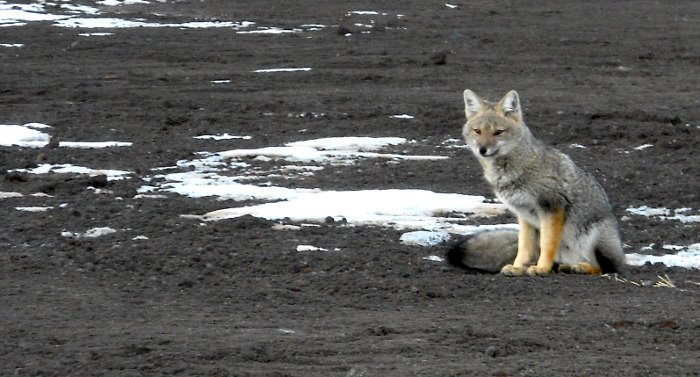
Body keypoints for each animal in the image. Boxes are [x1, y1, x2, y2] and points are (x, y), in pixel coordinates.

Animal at [446, 89, 632, 276]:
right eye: (477, 131)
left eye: (498, 132)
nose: (482, 150)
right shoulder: (524, 215)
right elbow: (524, 247)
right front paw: (518, 267)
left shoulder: (551, 208)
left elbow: (547, 244)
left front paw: (541, 268)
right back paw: (566, 266)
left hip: (593, 241)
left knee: (606, 268)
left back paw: (580, 267)